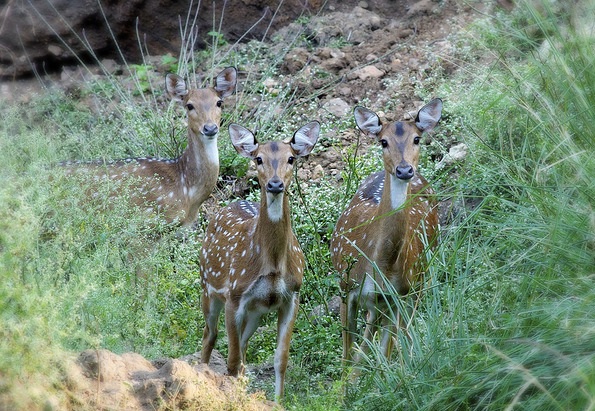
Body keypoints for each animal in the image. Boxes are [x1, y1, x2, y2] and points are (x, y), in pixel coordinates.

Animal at [200, 120, 322, 400]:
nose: (275, 185)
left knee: (243, 345)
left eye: (291, 158)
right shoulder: (235, 295)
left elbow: (280, 360)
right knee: (210, 335)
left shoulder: (292, 295)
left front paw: (277, 402)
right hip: (207, 286)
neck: (273, 264)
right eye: (258, 159)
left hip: (256, 311)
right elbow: (232, 361)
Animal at [330, 100, 442, 370]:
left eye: (417, 138)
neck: (381, 262)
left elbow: (382, 354)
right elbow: (347, 356)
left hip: (419, 280)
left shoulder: (398, 295)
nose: (404, 170)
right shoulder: (346, 286)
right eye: (383, 141)